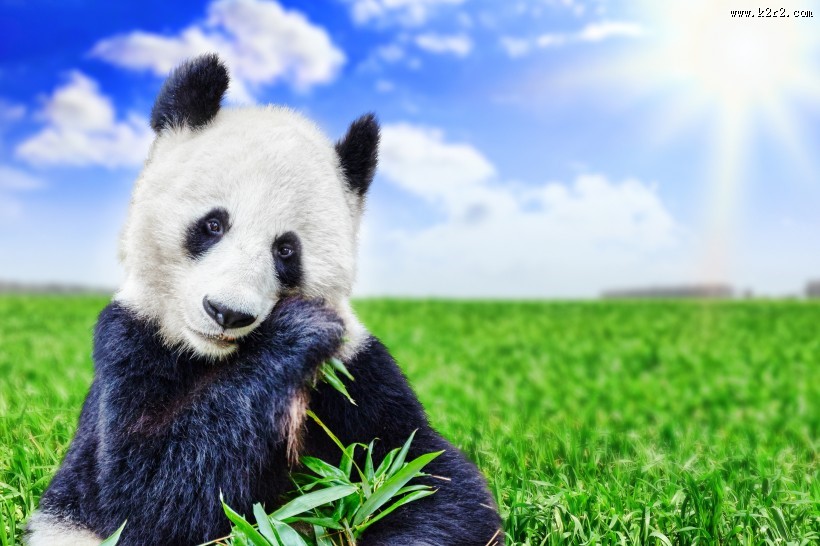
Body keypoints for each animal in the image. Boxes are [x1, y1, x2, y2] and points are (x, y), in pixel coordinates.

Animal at [25, 53, 502, 546]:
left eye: (286, 250)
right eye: (213, 224)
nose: (227, 312)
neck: (215, 358)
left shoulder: (354, 370)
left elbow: (422, 474)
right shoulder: (131, 343)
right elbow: (142, 498)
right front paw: (297, 331)